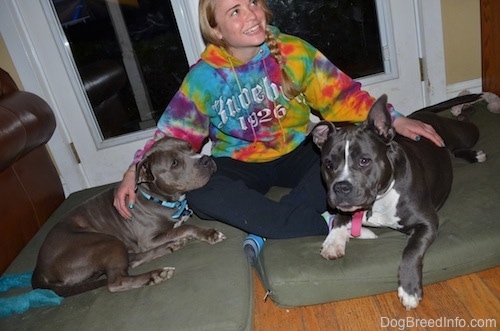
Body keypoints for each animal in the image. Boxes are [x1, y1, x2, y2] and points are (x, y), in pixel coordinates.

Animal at [32, 136, 226, 296]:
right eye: (174, 163)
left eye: (189, 147)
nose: (206, 159)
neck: (154, 196)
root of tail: (39, 269)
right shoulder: (148, 239)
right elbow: (185, 227)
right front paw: (209, 233)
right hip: (105, 242)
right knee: (116, 281)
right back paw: (156, 274)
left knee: (132, 260)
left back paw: (172, 246)